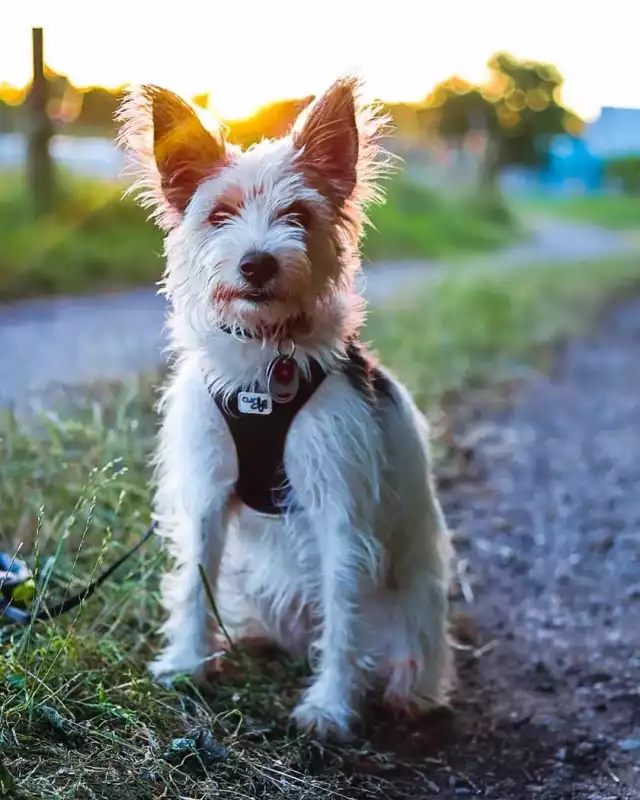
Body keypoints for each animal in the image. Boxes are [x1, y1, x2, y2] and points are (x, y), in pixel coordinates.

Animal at [116, 75, 456, 736]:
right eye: (219, 215)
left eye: (297, 215)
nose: (257, 263)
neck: (263, 369)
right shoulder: (207, 493)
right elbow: (194, 581)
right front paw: (188, 662)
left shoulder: (339, 509)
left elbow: (344, 614)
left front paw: (329, 704)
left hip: (413, 600)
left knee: (406, 645)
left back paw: (410, 694)